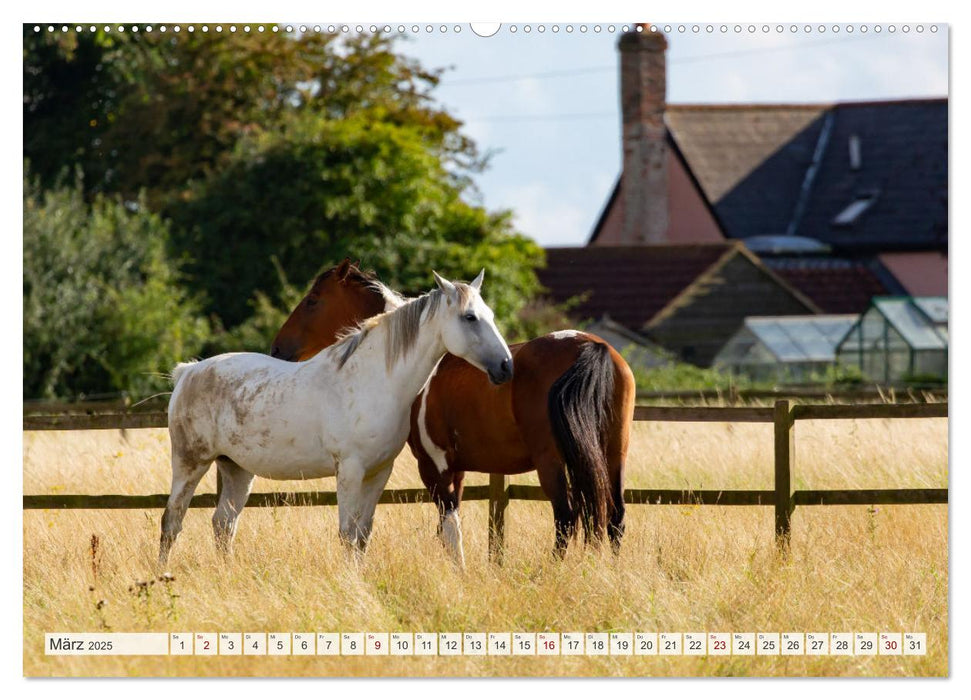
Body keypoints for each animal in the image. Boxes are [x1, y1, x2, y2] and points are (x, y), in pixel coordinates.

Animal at [160, 270, 512, 568]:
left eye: (491, 316)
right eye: (469, 317)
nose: (506, 366)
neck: (374, 380)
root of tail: (188, 371)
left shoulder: (379, 473)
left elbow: (363, 534)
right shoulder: (350, 471)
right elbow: (347, 533)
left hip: (236, 469)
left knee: (223, 523)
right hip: (190, 463)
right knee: (172, 520)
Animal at [274, 260, 636, 560]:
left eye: (312, 301)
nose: (278, 348)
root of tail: (592, 346)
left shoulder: (434, 466)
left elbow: (449, 528)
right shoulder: (457, 468)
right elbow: (448, 527)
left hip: (552, 461)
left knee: (566, 517)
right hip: (613, 454)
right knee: (614, 518)